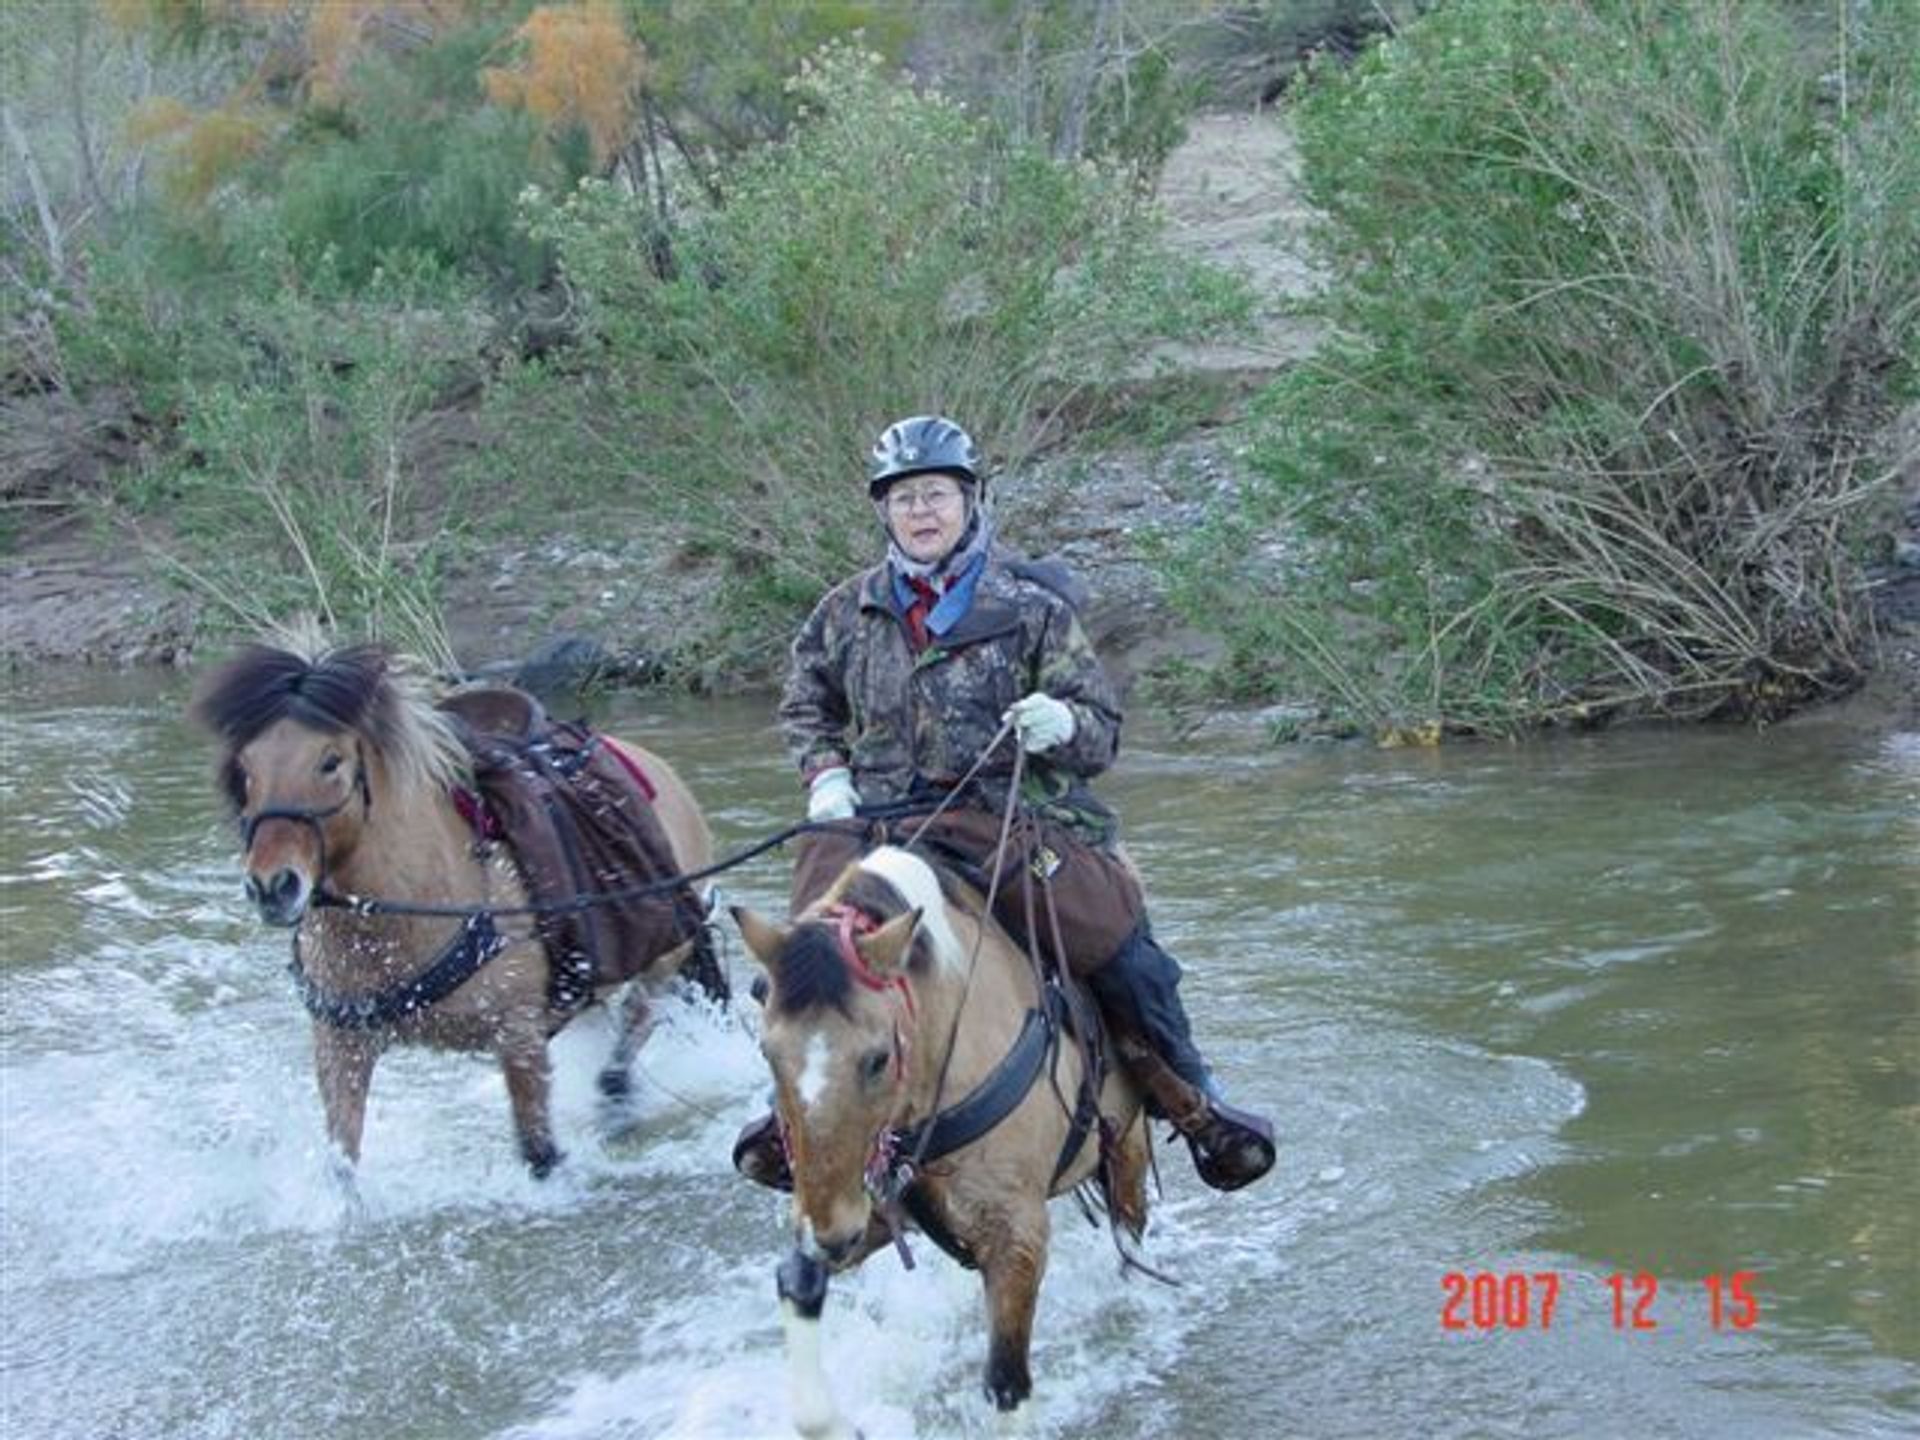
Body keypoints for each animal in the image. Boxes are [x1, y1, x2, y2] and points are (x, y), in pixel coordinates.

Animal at [192, 637, 725, 1175]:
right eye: (246, 768)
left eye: (330, 761)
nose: (272, 885)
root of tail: (658, 770)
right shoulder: (341, 1044)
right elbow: (342, 1165)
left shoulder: (519, 1037)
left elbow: (540, 1156)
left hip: (663, 960)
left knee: (621, 1062)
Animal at [729, 844, 1152, 1436]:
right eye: (768, 1052)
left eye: (878, 1058)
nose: (831, 1234)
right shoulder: (868, 1207)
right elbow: (798, 1280)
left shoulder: (1016, 1235)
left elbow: (1006, 1383)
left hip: (1128, 1148)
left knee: (1130, 1230)